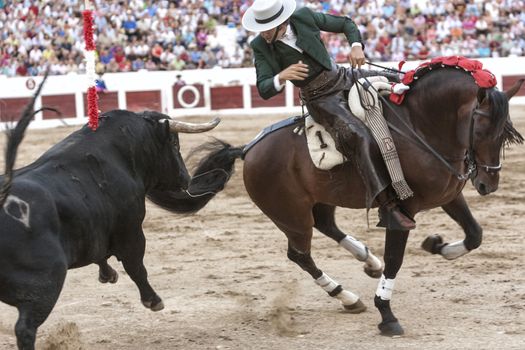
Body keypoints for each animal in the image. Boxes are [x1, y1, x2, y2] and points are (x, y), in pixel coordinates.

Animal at [0, 79, 239, 350]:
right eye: (175, 144)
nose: (185, 178)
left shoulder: (95, 228)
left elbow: (101, 253)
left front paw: (108, 274)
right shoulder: (132, 229)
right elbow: (136, 266)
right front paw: (153, 300)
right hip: (46, 283)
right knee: (25, 328)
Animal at [193, 67, 524, 334]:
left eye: (506, 132)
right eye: (481, 129)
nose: (487, 184)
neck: (420, 126)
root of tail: (247, 149)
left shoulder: (449, 195)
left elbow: (475, 235)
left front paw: (437, 246)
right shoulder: (402, 212)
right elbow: (395, 260)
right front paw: (387, 316)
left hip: (321, 199)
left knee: (326, 225)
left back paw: (367, 261)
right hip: (291, 216)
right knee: (300, 254)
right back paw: (346, 295)